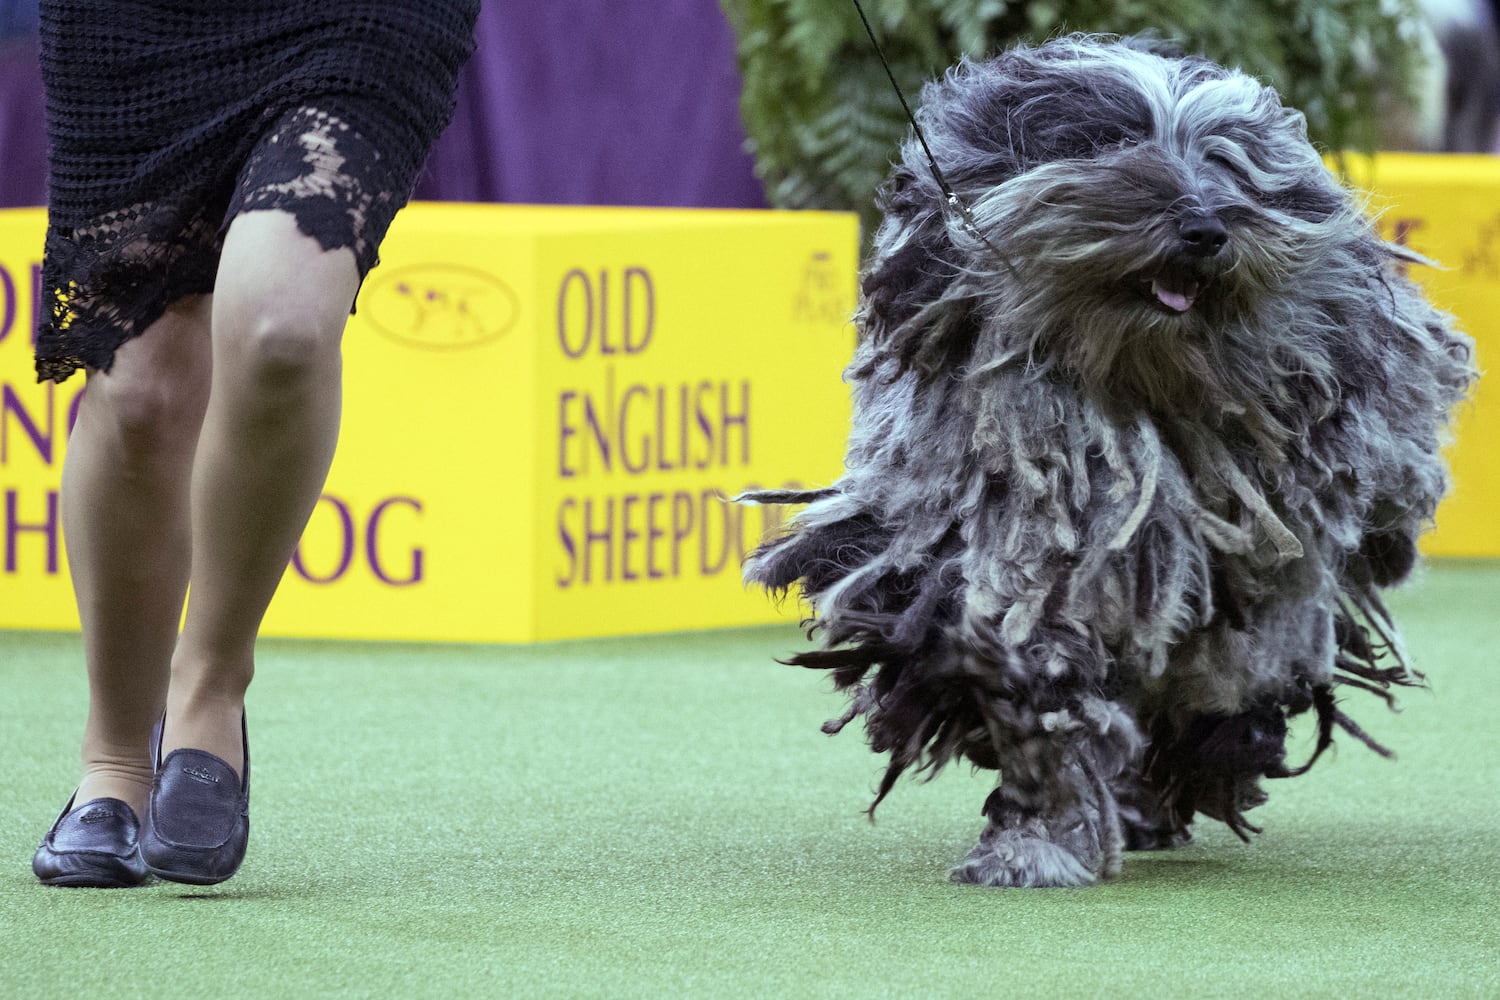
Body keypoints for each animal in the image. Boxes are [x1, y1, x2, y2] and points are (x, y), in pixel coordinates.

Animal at [738, 35, 1476, 887]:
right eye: (1114, 145)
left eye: (1224, 160)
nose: (1204, 229)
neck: (1128, 393)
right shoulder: (1001, 550)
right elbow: (1030, 676)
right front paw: (1037, 836)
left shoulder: (1248, 572)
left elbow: (1212, 675)